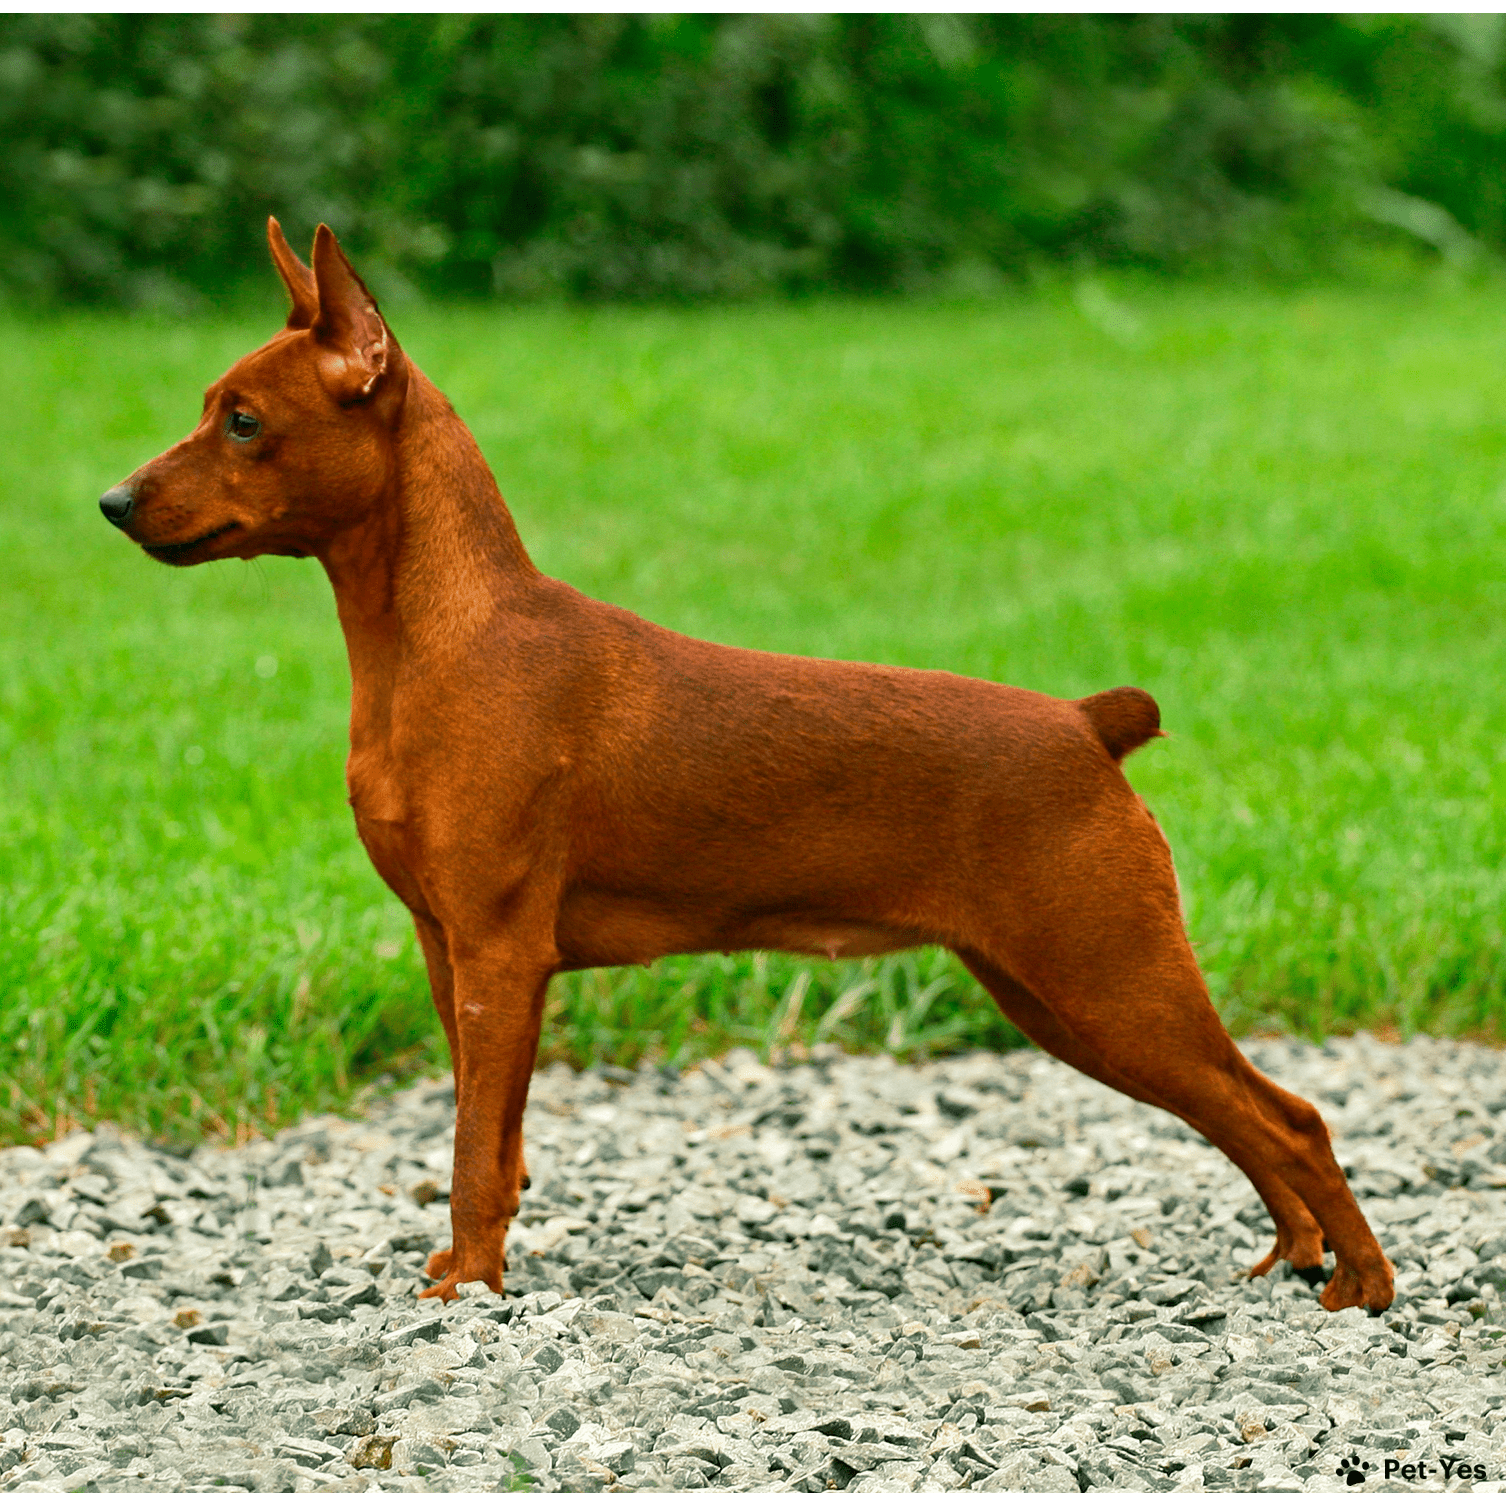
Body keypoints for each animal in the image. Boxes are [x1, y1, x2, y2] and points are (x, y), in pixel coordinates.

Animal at [103, 218, 1397, 1313]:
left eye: (243, 421)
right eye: (212, 408)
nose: (111, 502)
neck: (438, 640)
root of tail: (1087, 724)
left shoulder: (502, 955)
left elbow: (474, 1152)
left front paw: (467, 1287)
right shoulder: (449, 950)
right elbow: (498, 1140)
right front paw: (471, 1267)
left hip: (1107, 980)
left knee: (1291, 1118)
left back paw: (1361, 1286)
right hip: (1063, 997)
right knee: (1246, 1117)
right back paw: (1294, 1255)